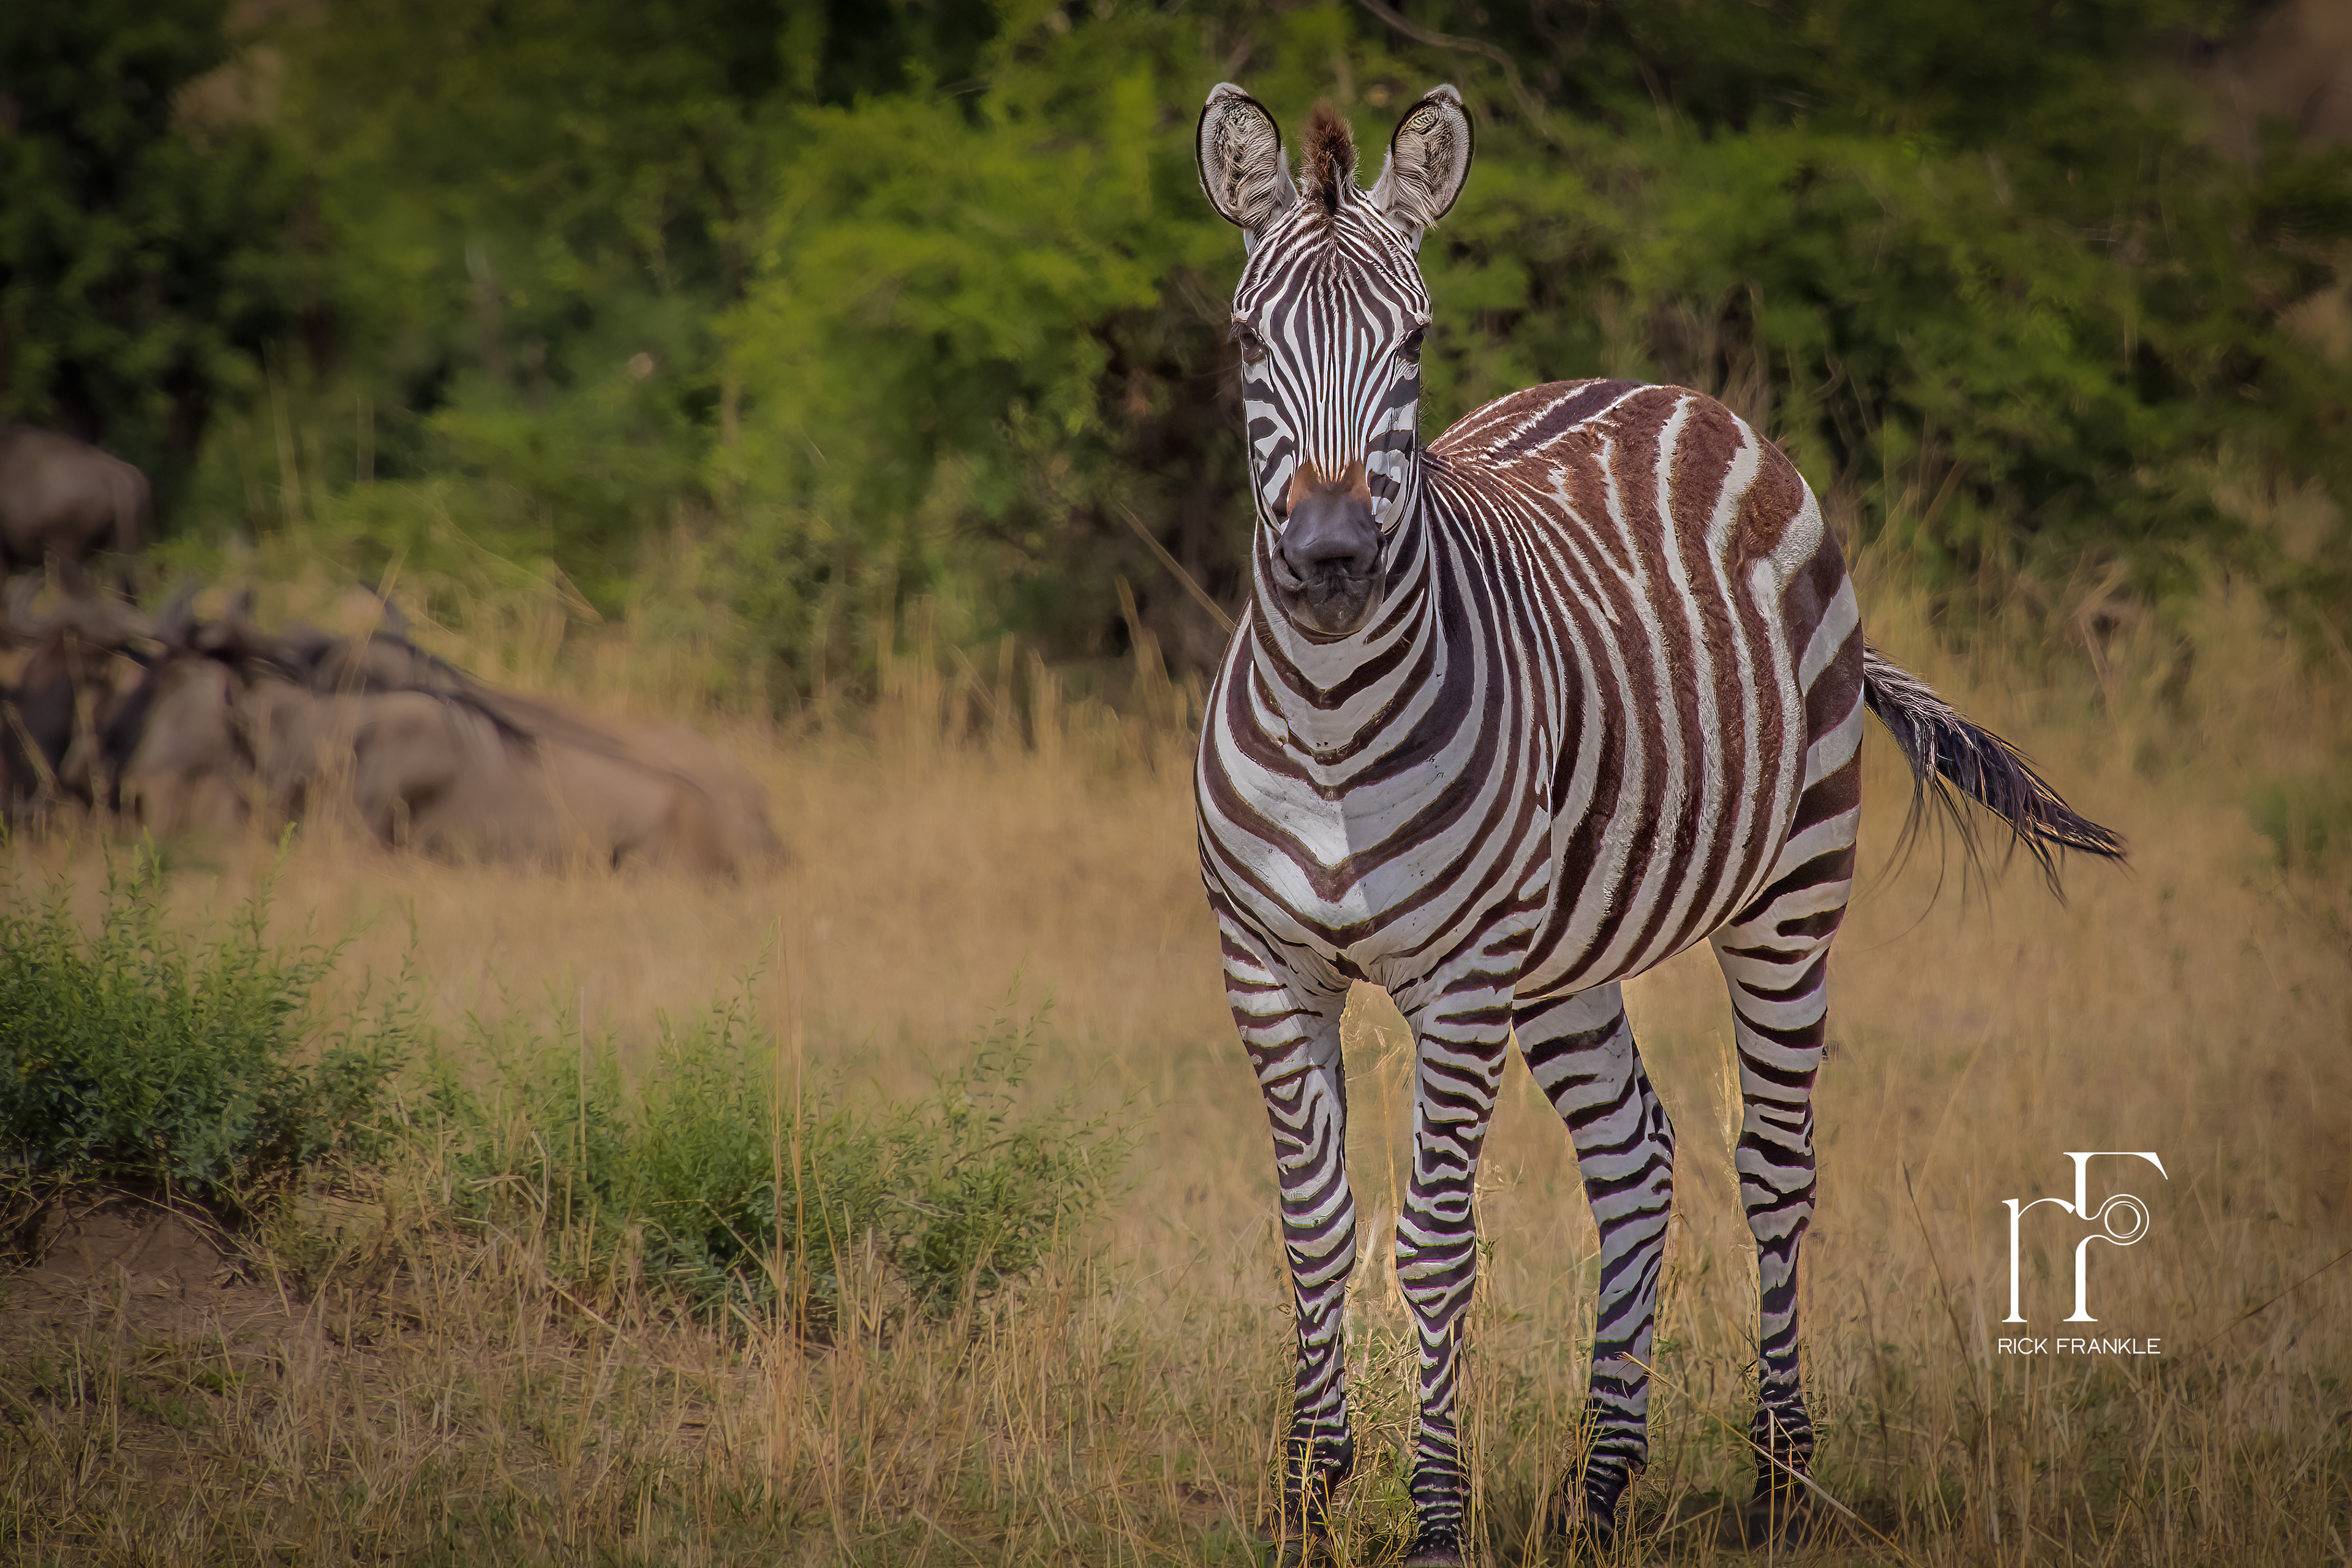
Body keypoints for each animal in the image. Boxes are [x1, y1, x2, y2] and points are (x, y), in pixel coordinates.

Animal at [1191, 82, 2123, 1564]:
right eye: (1245, 338)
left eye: (1415, 340)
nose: (1332, 561)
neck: (1333, 715)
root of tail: (1672, 390)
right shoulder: (1267, 967)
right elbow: (1316, 1231)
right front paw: (1306, 1496)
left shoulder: (1459, 981)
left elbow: (1435, 1246)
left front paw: (1436, 1516)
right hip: (1565, 951)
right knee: (1636, 1158)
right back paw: (1601, 1486)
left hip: (1790, 895)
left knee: (1776, 1165)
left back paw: (1780, 1476)